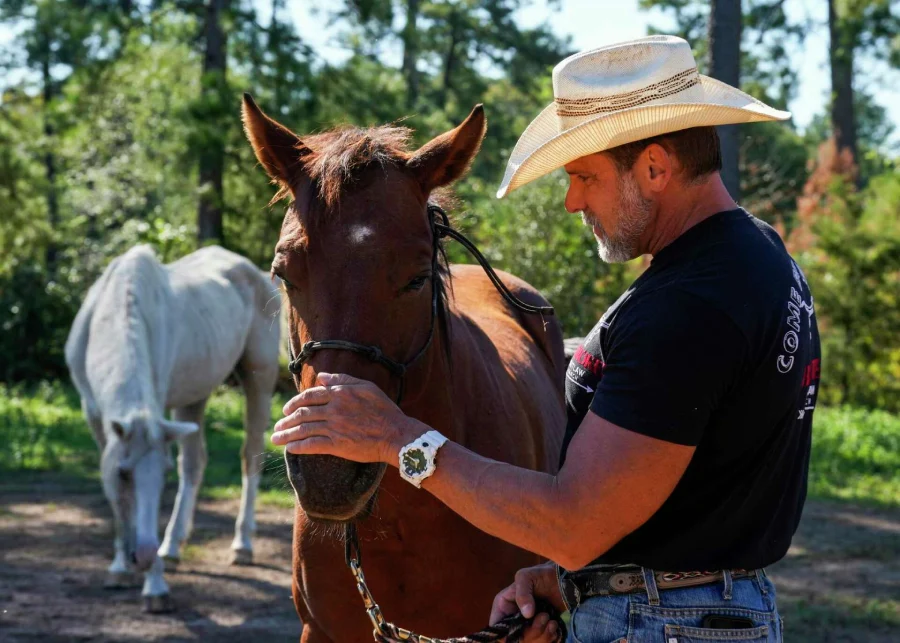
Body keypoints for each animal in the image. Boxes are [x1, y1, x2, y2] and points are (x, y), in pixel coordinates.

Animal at [63, 245, 280, 612]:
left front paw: (155, 587)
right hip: (195, 396)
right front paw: (120, 569)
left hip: (260, 381)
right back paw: (172, 548)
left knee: (251, 454)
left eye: (161, 473)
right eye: (123, 473)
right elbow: (116, 499)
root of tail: (258, 273)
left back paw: (242, 545)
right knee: (194, 463)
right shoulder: (94, 417)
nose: (144, 555)